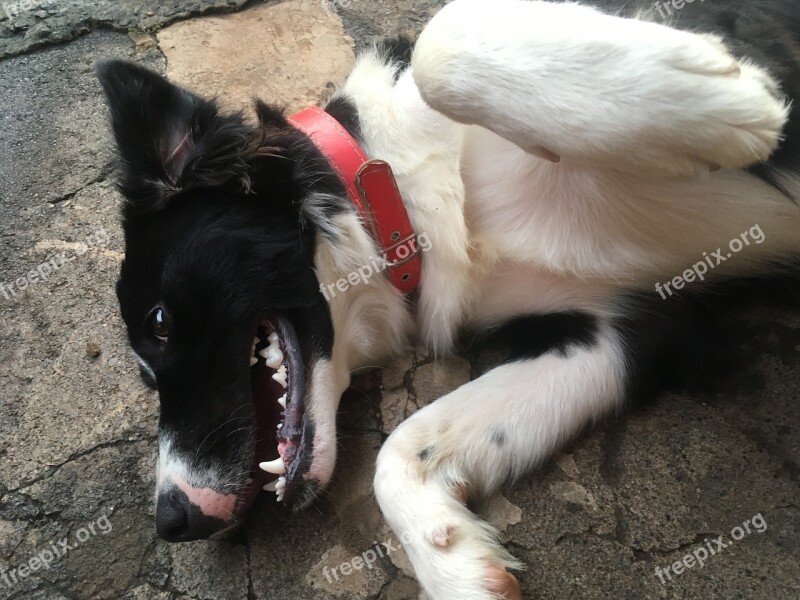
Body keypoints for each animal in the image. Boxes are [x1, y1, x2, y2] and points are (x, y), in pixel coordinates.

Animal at [95, 2, 800, 596]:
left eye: (160, 322)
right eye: (143, 370)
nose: (173, 520)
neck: (394, 194)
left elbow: (445, 40)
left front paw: (728, 100)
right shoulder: (612, 330)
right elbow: (399, 451)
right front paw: (457, 565)